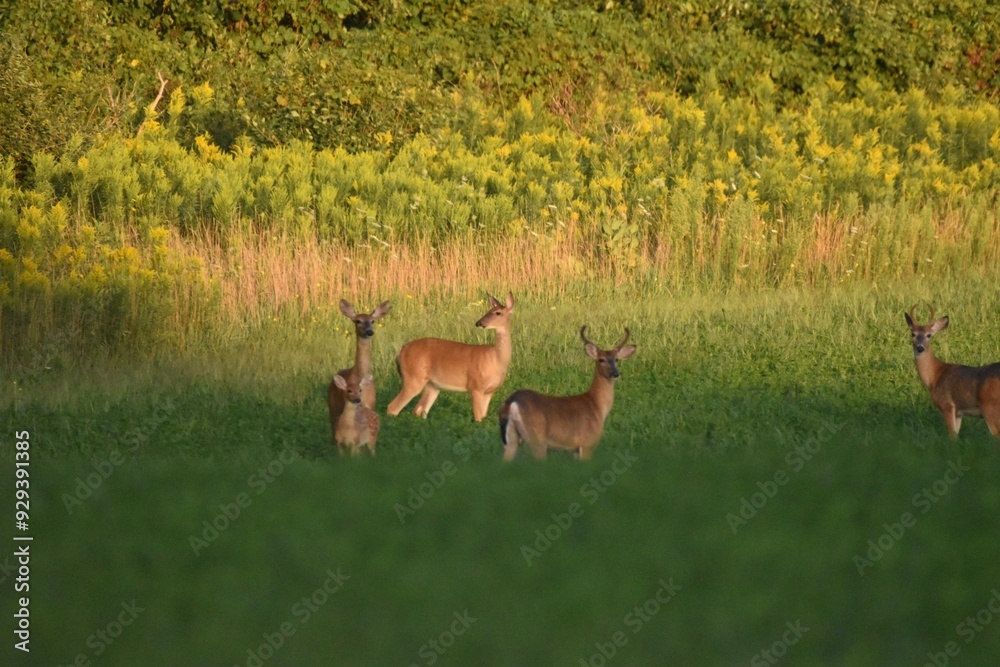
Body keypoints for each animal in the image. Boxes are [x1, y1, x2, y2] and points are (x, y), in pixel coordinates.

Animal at [387, 293, 514, 422]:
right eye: (488, 311)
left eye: (497, 312)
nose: (479, 323)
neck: (497, 360)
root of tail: (401, 351)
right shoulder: (475, 386)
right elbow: (478, 418)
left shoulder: (489, 391)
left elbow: (483, 416)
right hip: (413, 378)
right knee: (392, 407)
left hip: (432, 385)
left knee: (418, 410)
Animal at [498, 326, 637, 461]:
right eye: (601, 359)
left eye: (617, 359)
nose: (615, 373)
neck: (597, 406)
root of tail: (511, 402)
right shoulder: (586, 443)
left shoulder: (575, 449)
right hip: (537, 439)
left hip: (512, 440)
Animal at [905, 304, 1000, 439]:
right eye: (913, 334)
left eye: (929, 335)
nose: (920, 348)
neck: (935, 376)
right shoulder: (959, 413)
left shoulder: (947, 405)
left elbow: (951, 436)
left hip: (990, 407)